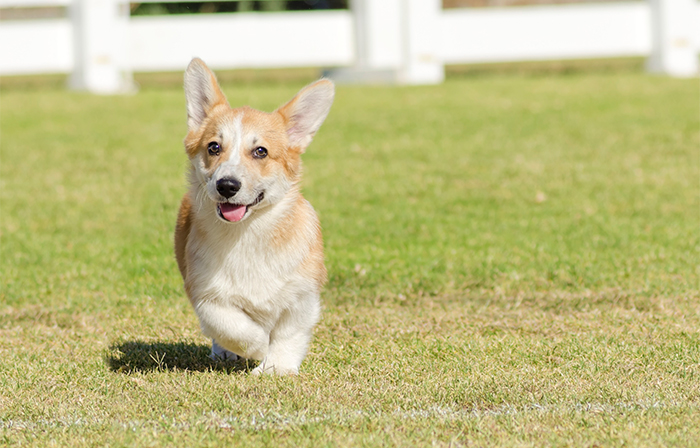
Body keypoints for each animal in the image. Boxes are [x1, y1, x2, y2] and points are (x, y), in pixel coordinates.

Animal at [174, 58, 334, 375]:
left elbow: (288, 334)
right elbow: (230, 325)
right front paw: (257, 346)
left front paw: (277, 368)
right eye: (214, 147)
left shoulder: (302, 295)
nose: (227, 185)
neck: (247, 233)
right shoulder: (204, 291)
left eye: (261, 151)